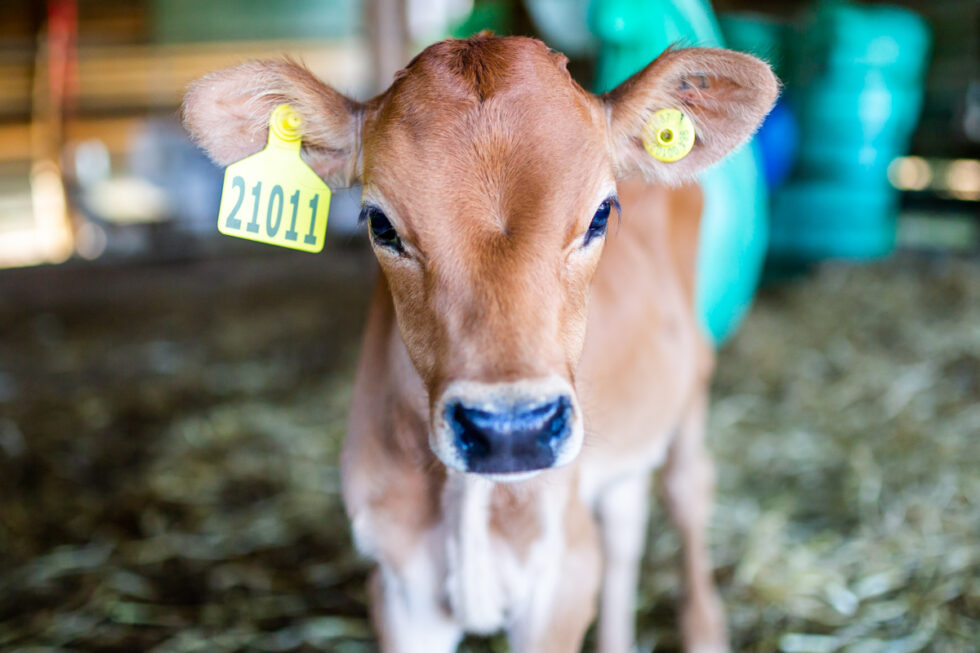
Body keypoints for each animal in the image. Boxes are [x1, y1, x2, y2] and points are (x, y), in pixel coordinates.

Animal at [183, 34, 778, 653]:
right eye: (380, 224)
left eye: (601, 214)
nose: (511, 430)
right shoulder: (398, 587)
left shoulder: (559, 582)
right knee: (626, 523)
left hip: (696, 374)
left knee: (687, 490)